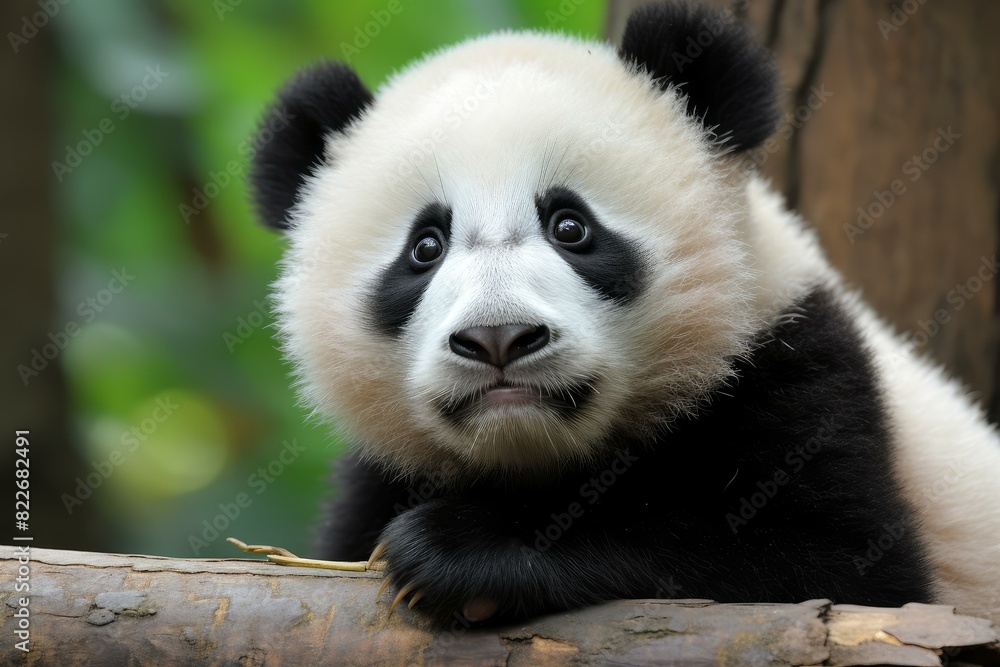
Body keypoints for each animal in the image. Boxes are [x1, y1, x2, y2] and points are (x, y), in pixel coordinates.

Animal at [248, 1, 1000, 624]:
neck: (535, 459)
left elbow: (838, 565)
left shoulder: (797, 372)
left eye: (570, 226)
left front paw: (461, 547)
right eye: (425, 247)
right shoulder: (380, 477)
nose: (499, 337)